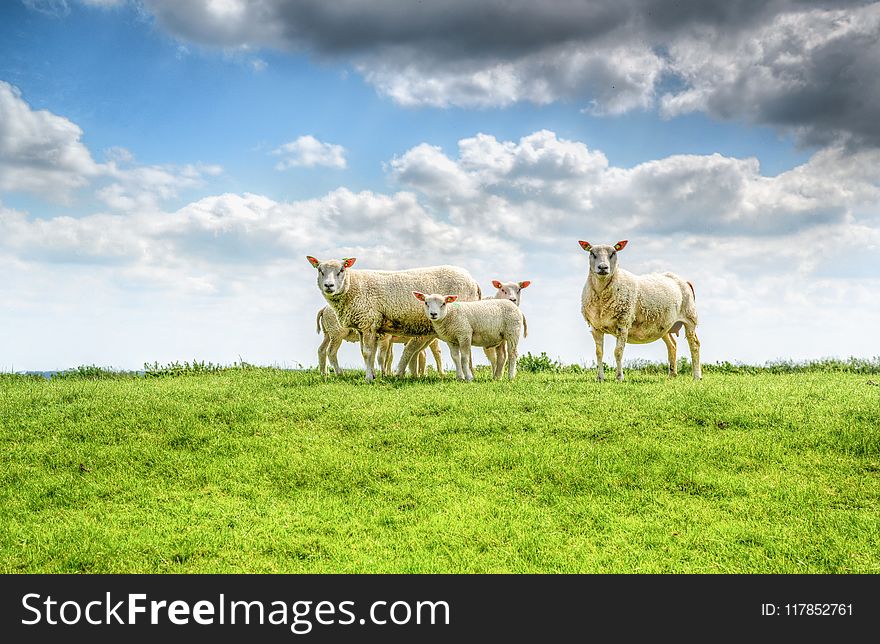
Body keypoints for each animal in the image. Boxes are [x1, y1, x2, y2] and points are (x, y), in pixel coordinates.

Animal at [304, 254, 482, 380]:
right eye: (320, 270)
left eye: (341, 270)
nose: (329, 286)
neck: (353, 286)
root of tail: (473, 281)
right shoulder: (364, 326)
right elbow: (367, 353)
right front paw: (374, 374)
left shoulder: (369, 321)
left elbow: (368, 353)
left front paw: (369, 377)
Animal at [576, 242, 700, 382]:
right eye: (592, 253)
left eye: (613, 253)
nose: (603, 267)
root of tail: (684, 281)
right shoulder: (595, 326)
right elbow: (599, 353)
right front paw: (600, 378)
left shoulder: (623, 322)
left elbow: (618, 352)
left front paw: (619, 377)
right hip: (664, 325)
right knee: (672, 345)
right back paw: (672, 375)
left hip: (690, 317)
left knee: (694, 345)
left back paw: (697, 376)